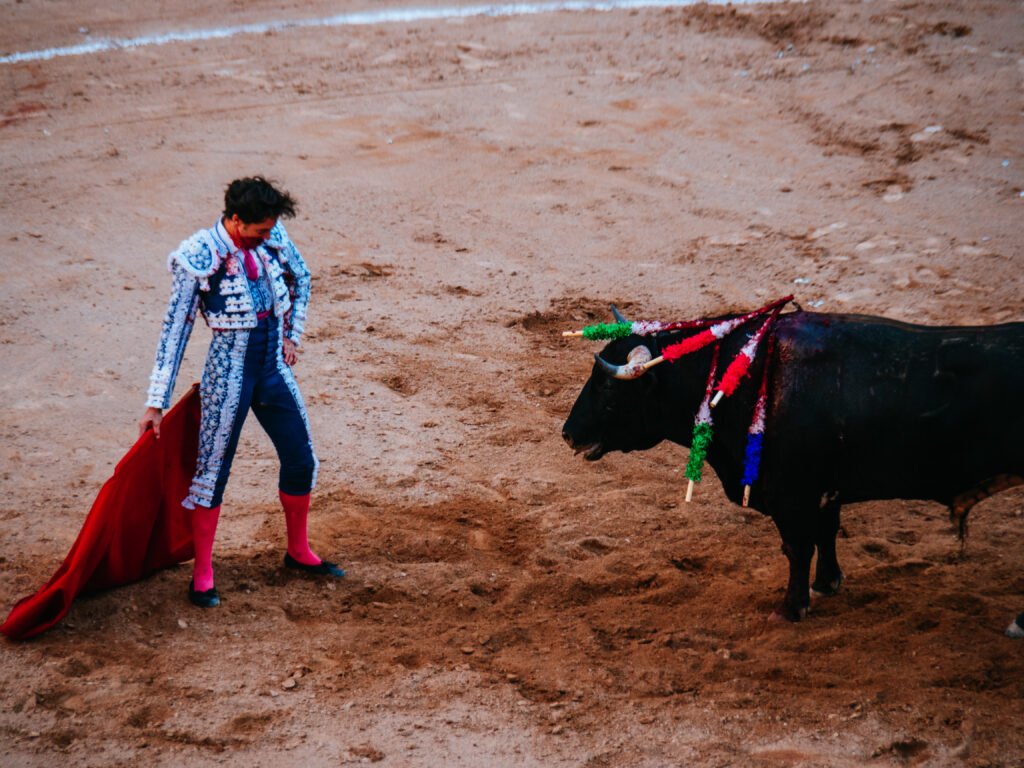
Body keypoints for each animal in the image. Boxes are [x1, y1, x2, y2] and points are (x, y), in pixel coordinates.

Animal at [565, 309, 1019, 622]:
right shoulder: (824, 491)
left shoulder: (791, 494)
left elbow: (798, 546)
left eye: (606, 386)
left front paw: (790, 607)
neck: (747, 380)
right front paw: (826, 584)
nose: (568, 433)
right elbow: (826, 534)